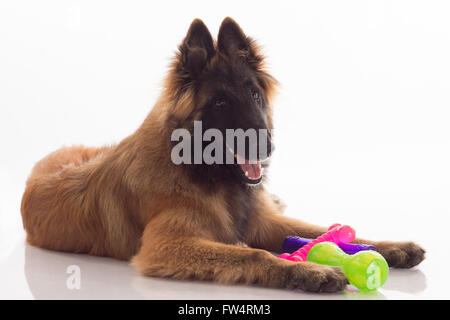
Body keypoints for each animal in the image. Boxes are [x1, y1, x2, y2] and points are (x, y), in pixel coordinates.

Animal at [20, 17, 426, 292]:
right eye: (220, 103)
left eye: (255, 95)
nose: (266, 147)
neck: (202, 172)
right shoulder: (166, 246)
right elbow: (253, 253)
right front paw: (311, 271)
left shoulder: (263, 222)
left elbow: (324, 230)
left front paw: (392, 247)